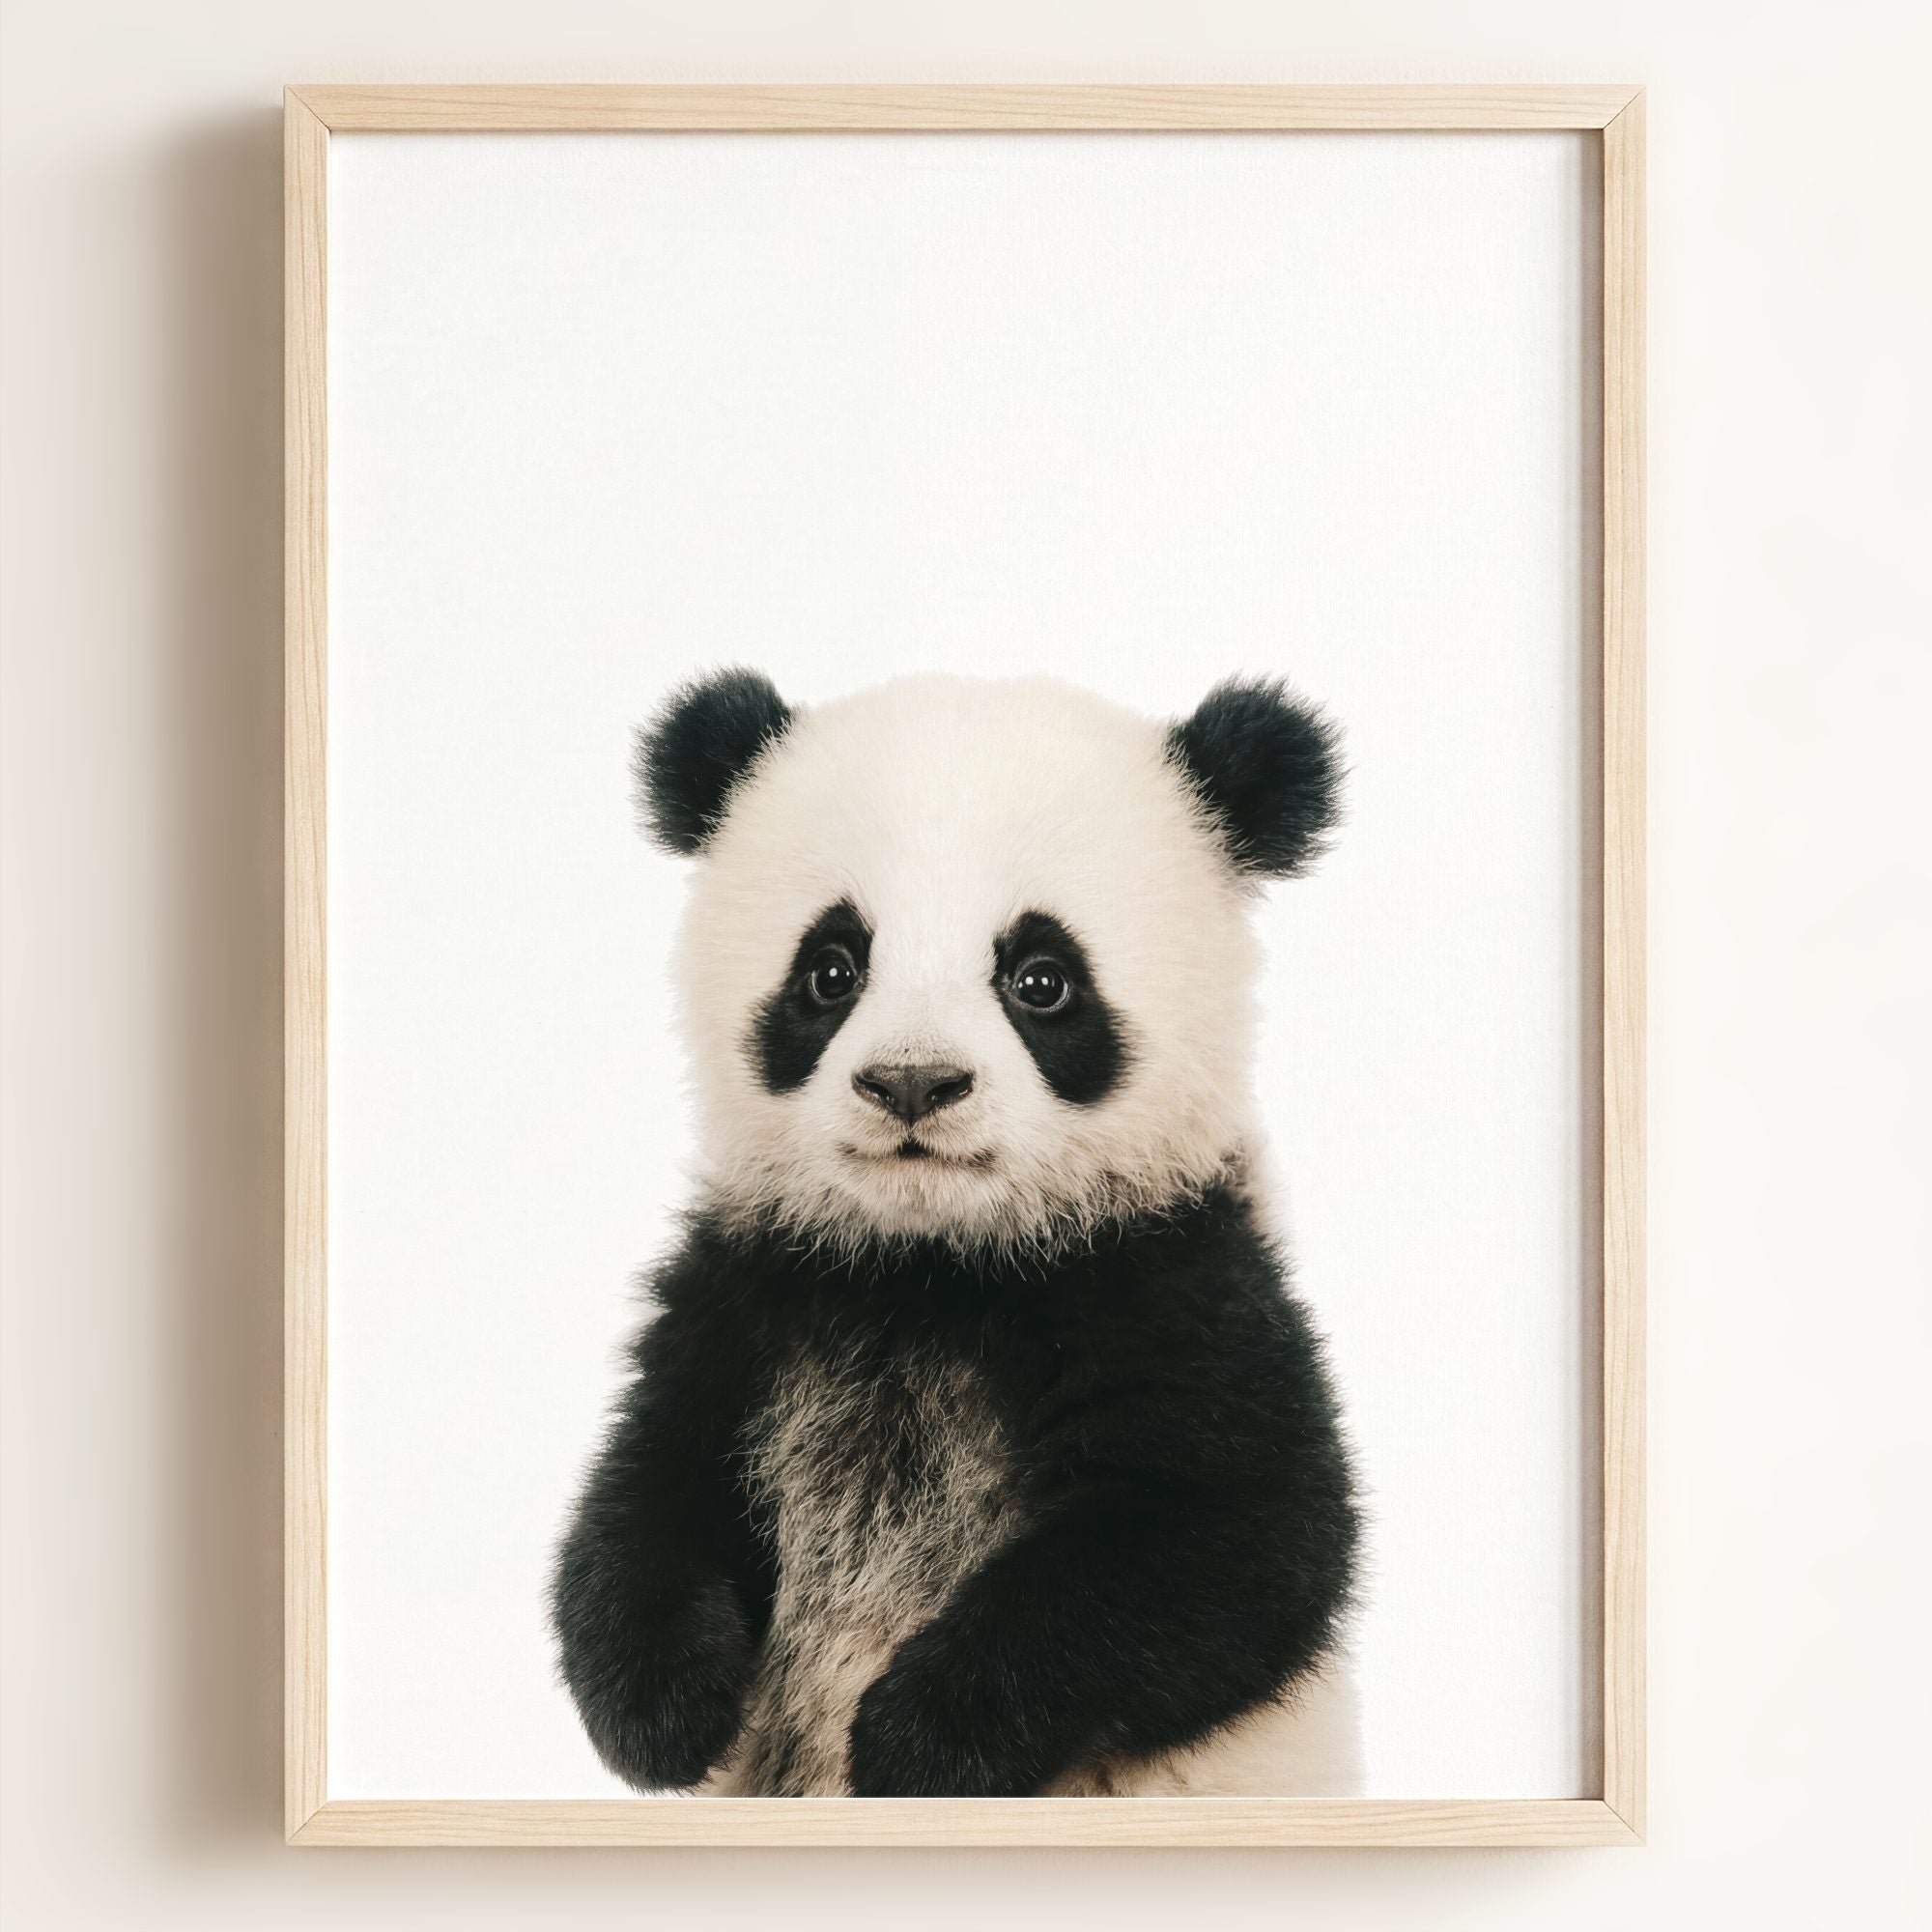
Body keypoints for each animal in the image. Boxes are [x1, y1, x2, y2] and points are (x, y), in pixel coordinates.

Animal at [552, 668, 1363, 1799]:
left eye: (1041, 978)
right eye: (831, 969)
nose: (911, 1082)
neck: (933, 1263)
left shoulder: (1174, 1279)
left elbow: (1231, 1539)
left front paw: (917, 1739)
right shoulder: (752, 1290)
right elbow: (651, 1488)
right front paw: (666, 1710)